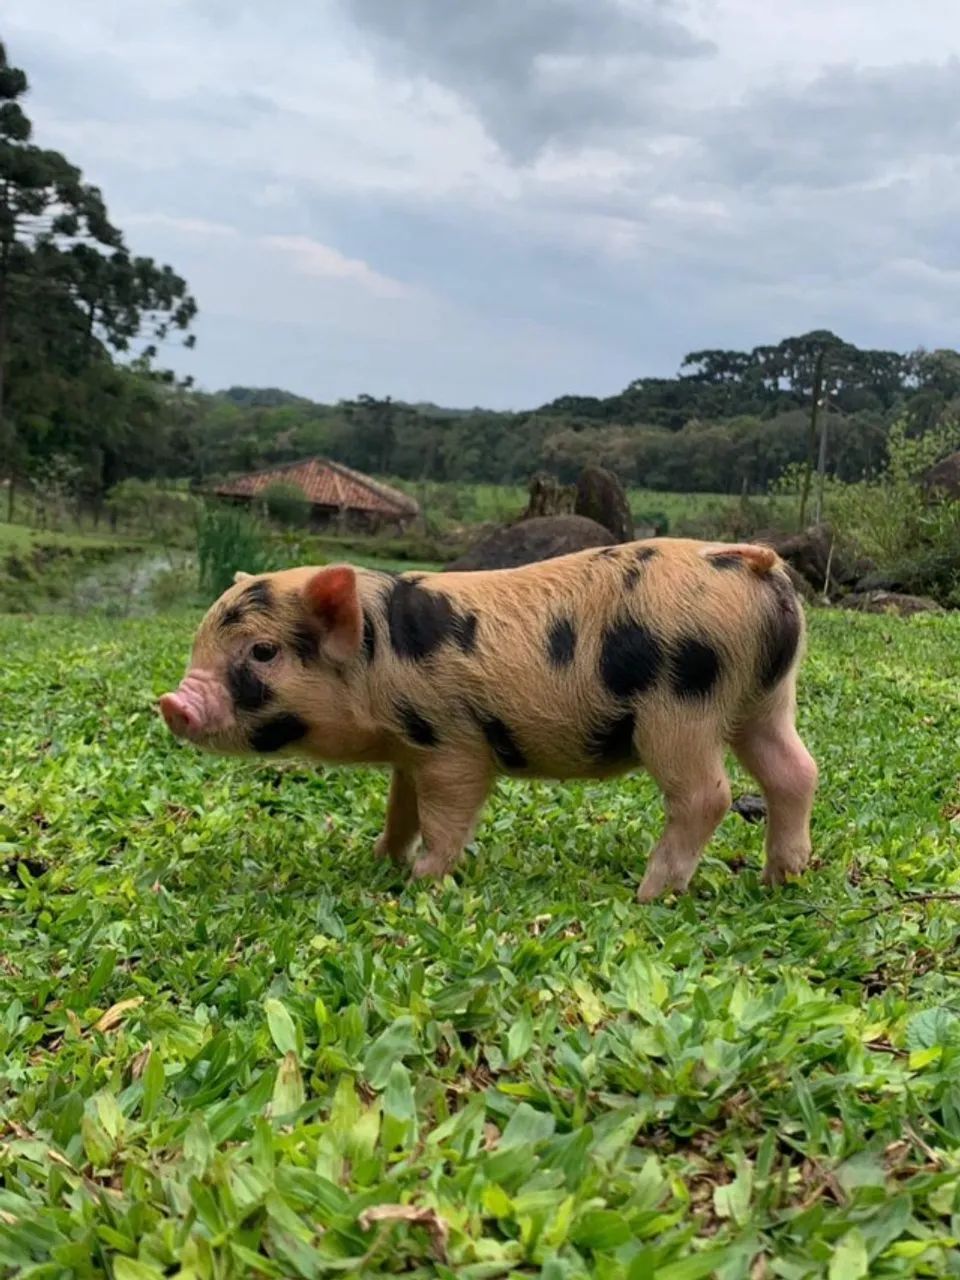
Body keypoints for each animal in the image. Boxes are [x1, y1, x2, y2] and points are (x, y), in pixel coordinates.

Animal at [158, 538, 818, 901]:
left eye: (262, 652)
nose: (173, 702)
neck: (377, 658)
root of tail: (755, 562)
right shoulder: (410, 752)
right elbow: (401, 810)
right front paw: (377, 858)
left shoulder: (452, 747)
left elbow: (447, 815)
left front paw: (421, 881)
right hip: (765, 699)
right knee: (795, 771)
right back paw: (779, 880)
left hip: (680, 711)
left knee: (708, 794)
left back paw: (649, 894)